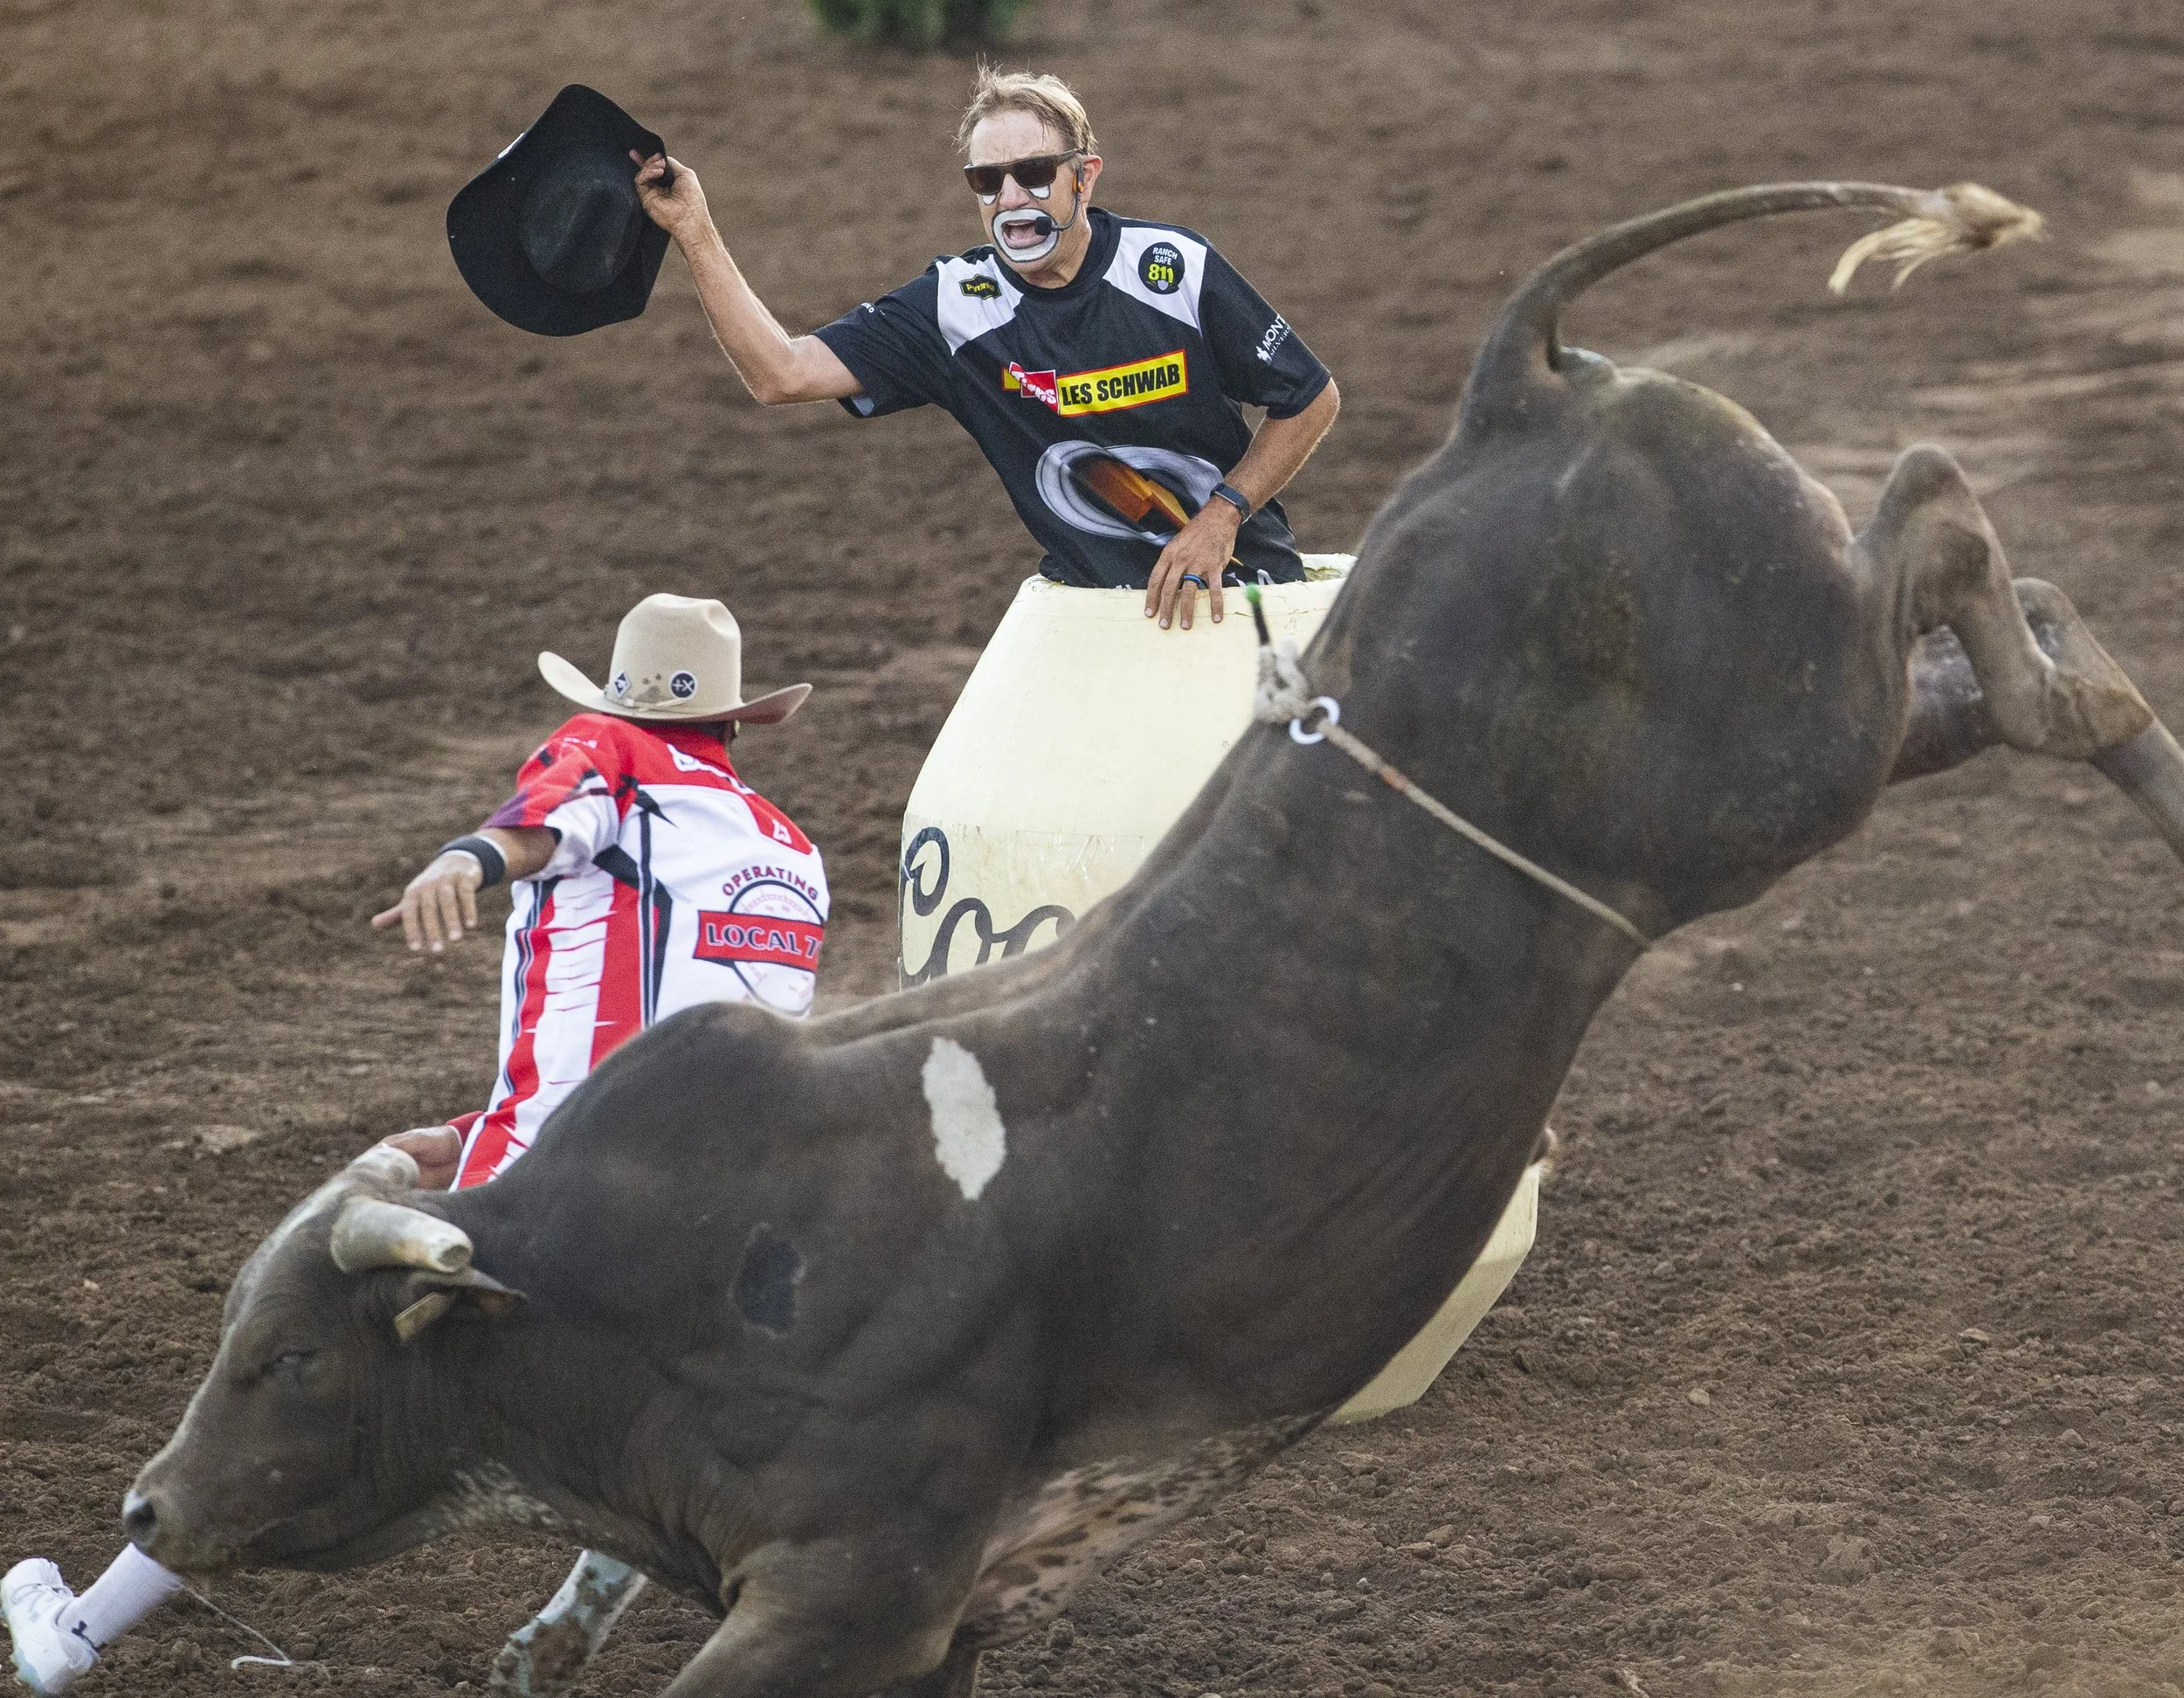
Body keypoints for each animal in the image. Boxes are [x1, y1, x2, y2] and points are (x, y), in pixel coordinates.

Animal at [124, 180, 2184, 1698]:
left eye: (290, 1359)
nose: (147, 1507)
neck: (648, 1284)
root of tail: (1515, 396)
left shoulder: (858, 1580)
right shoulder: (922, 1622)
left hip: (1774, 746)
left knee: (1933, 506)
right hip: (1775, 758)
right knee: (1985, 650)